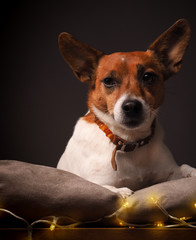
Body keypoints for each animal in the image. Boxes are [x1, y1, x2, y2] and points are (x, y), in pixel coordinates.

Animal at [56, 19, 196, 197]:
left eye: (148, 77)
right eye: (108, 81)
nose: (131, 106)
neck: (130, 141)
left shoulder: (170, 173)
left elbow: (183, 168)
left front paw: (191, 172)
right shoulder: (97, 183)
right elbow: (115, 190)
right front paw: (123, 191)